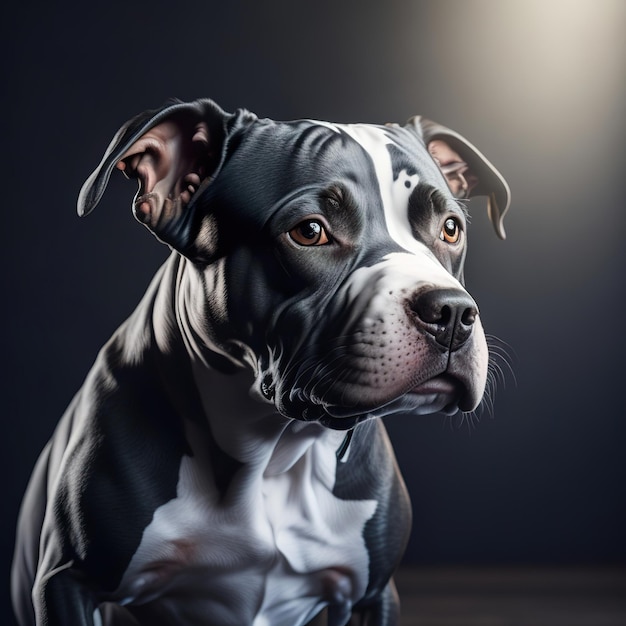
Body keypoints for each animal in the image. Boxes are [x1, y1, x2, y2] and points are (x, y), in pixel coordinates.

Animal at [11, 98, 508, 624]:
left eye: (450, 229)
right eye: (310, 232)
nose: (450, 312)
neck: (273, 453)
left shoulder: (373, 595)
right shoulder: (69, 583)